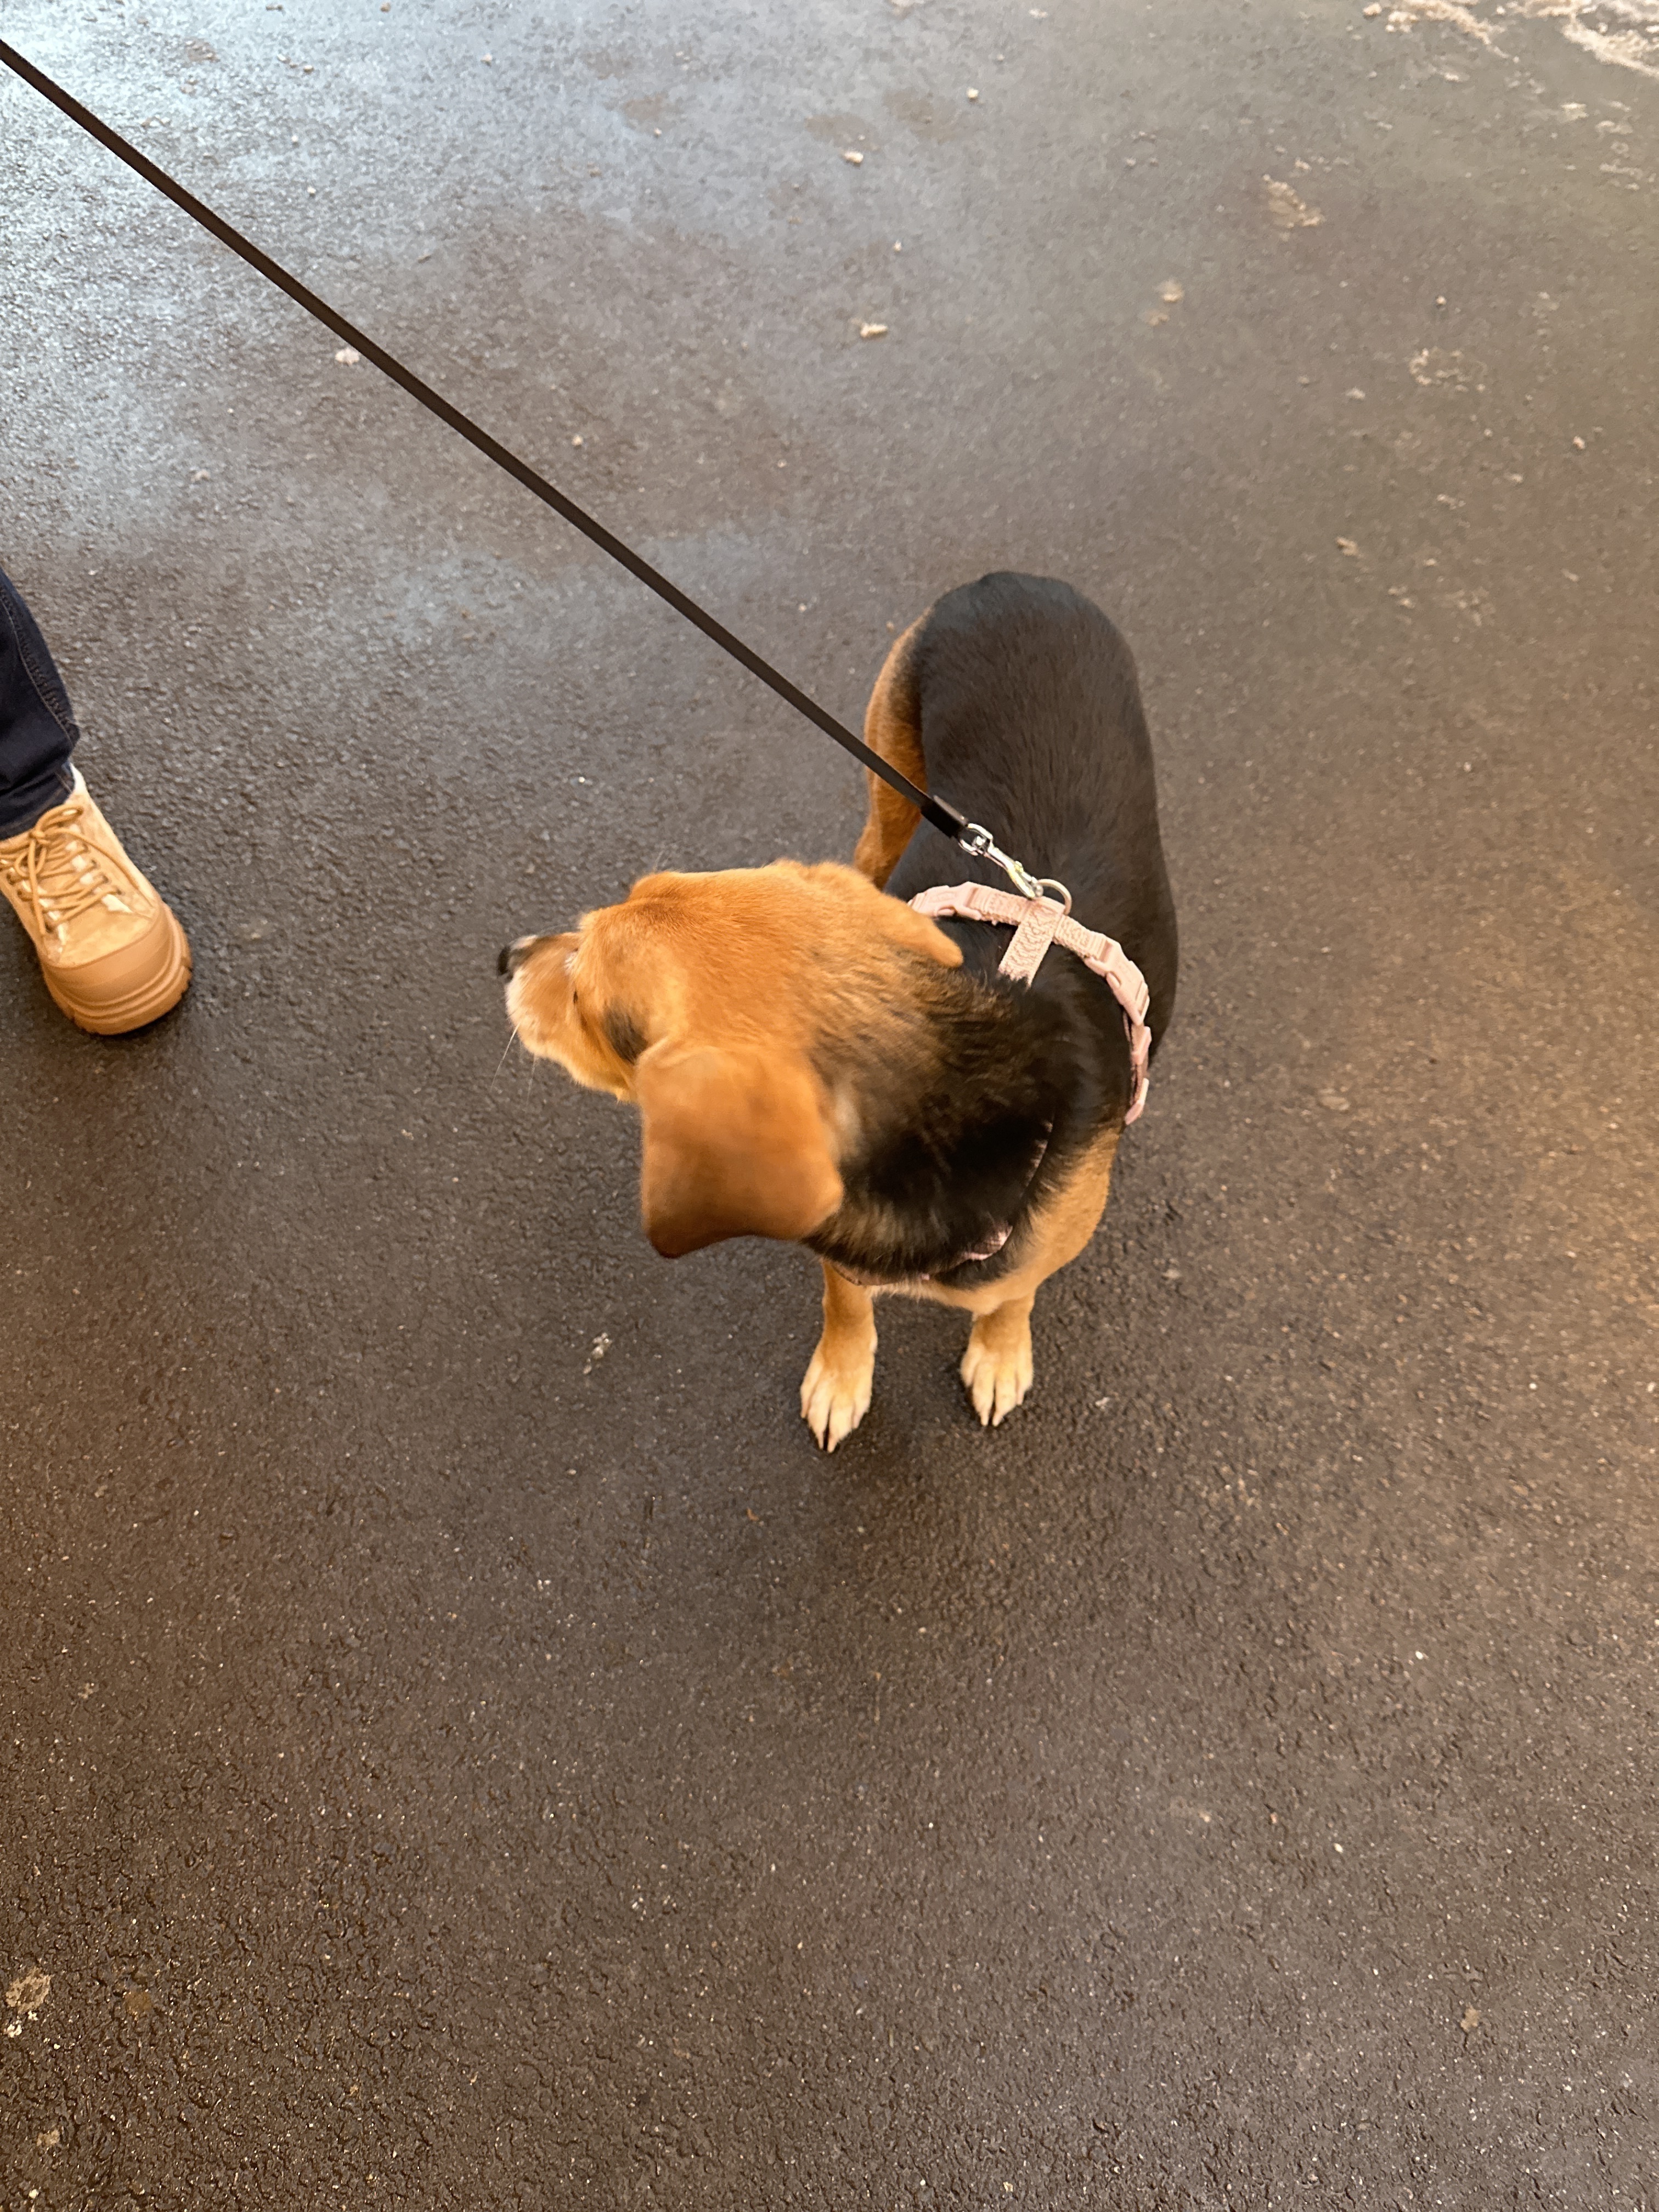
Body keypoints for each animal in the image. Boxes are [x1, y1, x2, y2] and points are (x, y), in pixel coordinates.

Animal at [502, 571, 1178, 1448]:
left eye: (587, 1000)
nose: (507, 957)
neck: (942, 1109)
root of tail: (1012, 580)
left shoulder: (1038, 1242)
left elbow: (1012, 1294)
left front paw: (999, 1351)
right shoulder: (837, 1242)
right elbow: (846, 1303)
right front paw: (842, 1375)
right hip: (889, 803)